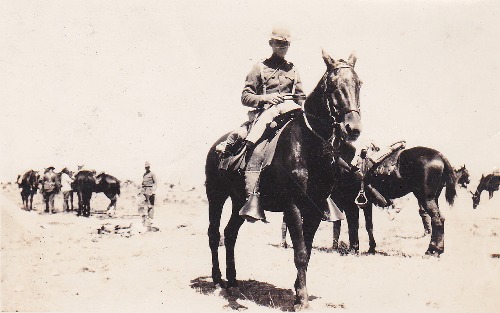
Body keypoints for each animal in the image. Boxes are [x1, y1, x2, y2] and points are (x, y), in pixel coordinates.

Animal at [205, 50, 362, 308]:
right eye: (333, 86)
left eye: (359, 84)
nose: (353, 129)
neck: (308, 146)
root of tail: (217, 145)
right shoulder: (293, 207)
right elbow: (299, 253)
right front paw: (302, 300)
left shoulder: (314, 209)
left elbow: (307, 251)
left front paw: (299, 292)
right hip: (216, 197)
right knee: (214, 233)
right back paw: (218, 281)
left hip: (239, 202)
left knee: (230, 234)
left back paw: (233, 282)